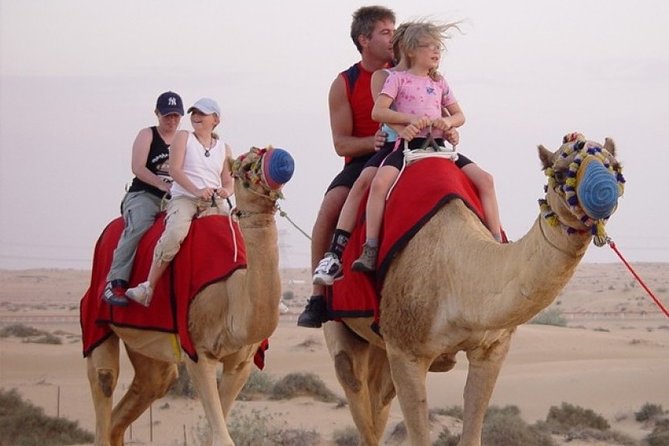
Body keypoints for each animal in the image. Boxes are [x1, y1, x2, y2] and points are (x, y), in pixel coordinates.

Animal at [84, 147, 294, 446]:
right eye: (243, 167)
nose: (282, 162)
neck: (231, 293)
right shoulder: (198, 349)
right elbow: (222, 437)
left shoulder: (241, 363)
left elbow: (215, 433)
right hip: (96, 316)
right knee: (104, 378)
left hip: (147, 344)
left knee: (152, 384)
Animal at [323, 134, 624, 446]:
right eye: (562, 172)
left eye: (615, 166)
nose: (603, 192)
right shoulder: (406, 352)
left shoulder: (491, 348)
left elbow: (472, 433)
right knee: (352, 381)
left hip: (381, 348)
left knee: (379, 400)